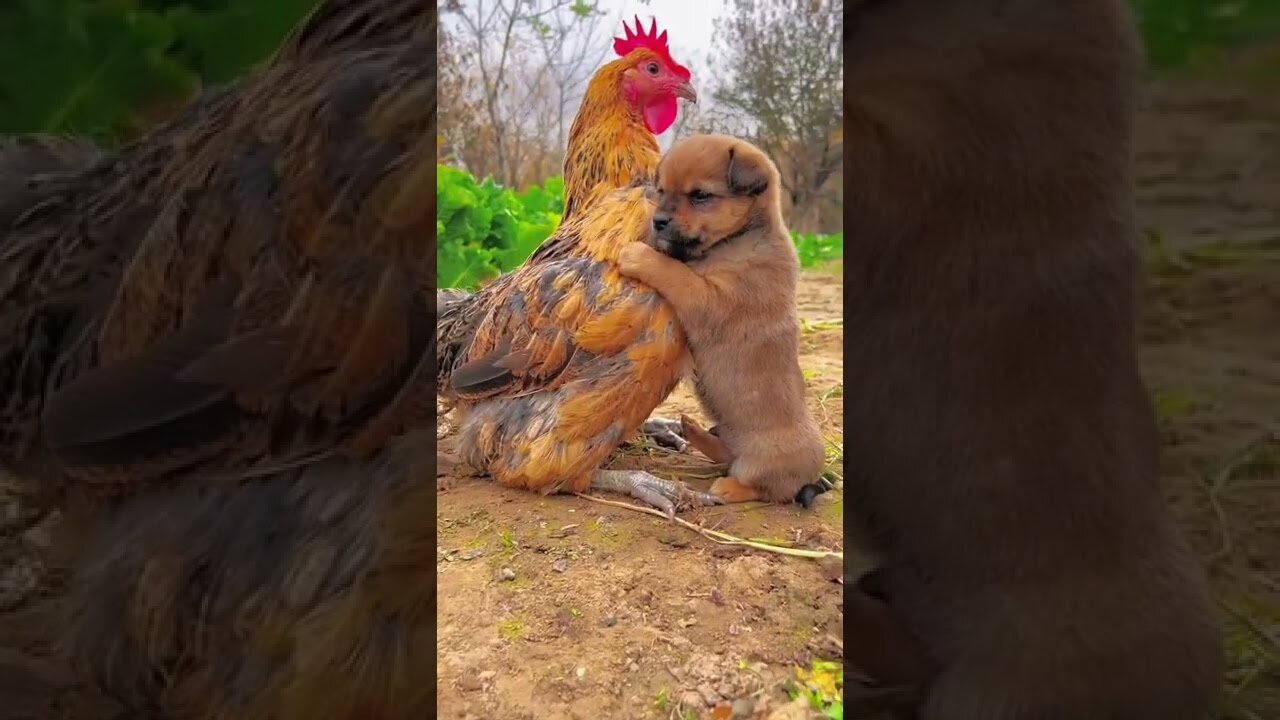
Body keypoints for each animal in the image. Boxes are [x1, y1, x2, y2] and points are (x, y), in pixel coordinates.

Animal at [614, 135, 824, 504]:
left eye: (700, 195)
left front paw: (640, 255)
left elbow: (674, 272)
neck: (739, 238)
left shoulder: (710, 300)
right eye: (662, 190)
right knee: (725, 453)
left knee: (761, 485)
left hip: (762, 464)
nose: (659, 221)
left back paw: (727, 487)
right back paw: (694, 430)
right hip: (727, 434)